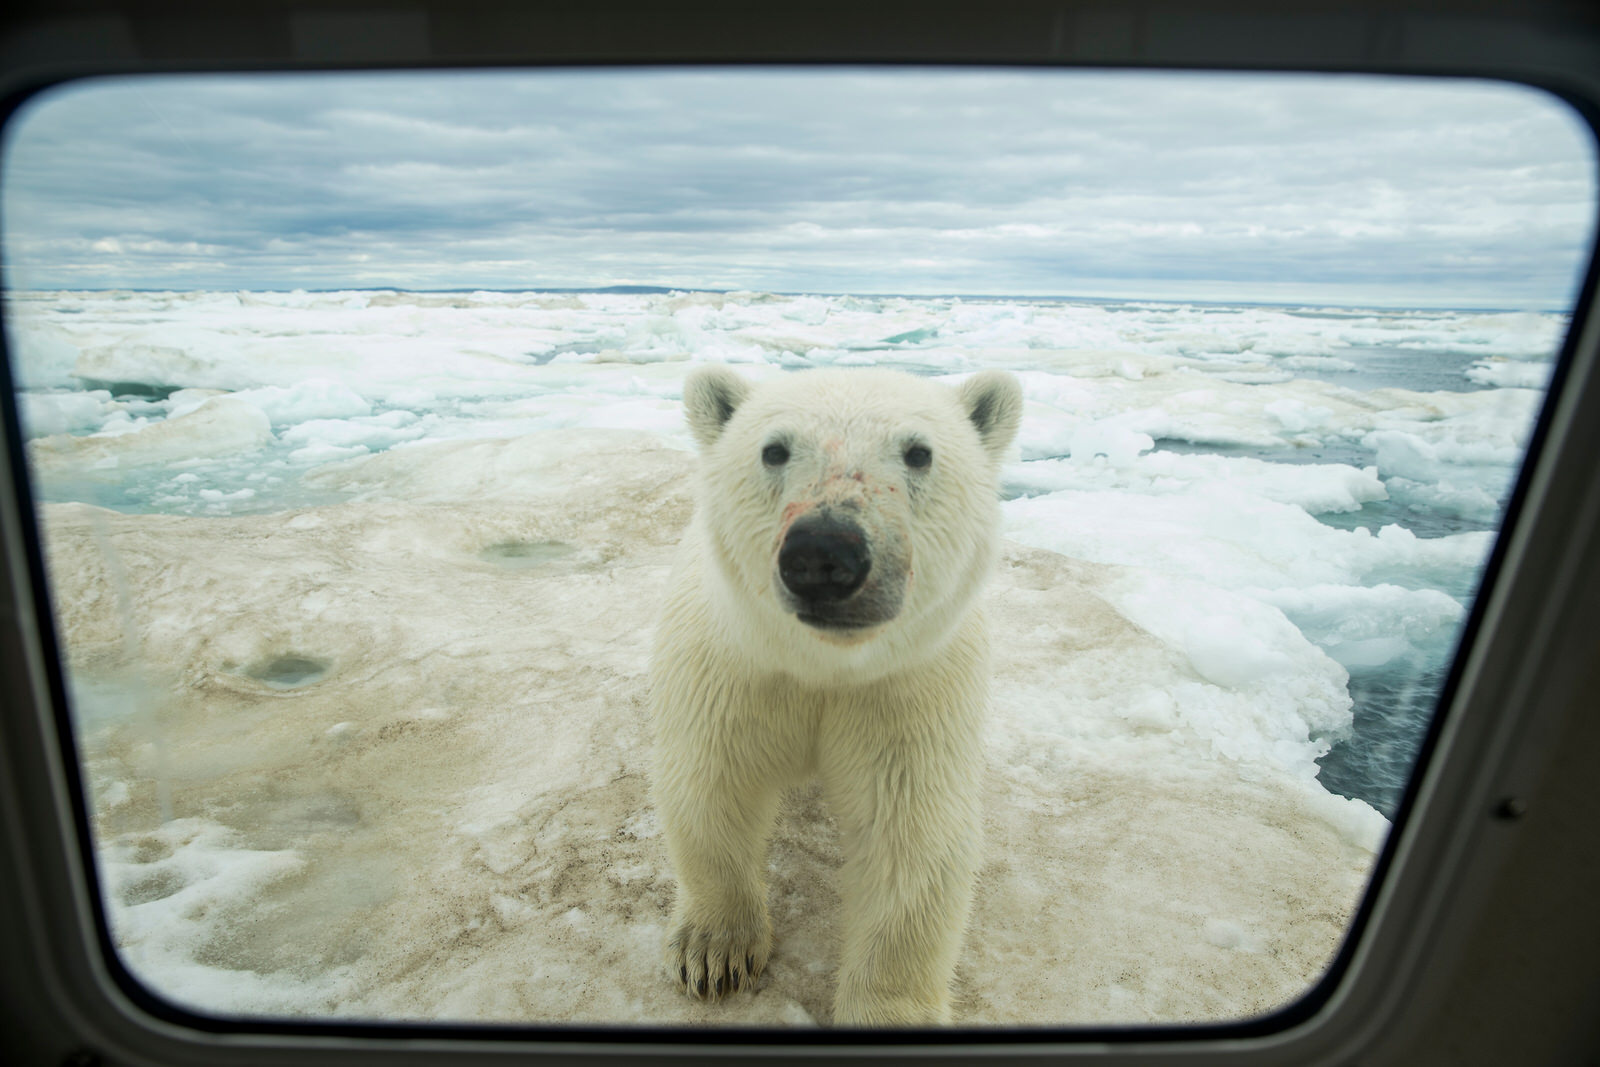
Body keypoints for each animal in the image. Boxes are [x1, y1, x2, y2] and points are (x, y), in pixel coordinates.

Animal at [649, 364, 1024, 1023]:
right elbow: (711, 790)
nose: (825, 553)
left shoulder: (908, 691)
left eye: (919, 452)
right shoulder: (732, 670)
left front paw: (890, 1013)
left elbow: (913, 837)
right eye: (774, 450)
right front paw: (714, 952)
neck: (826, 666)